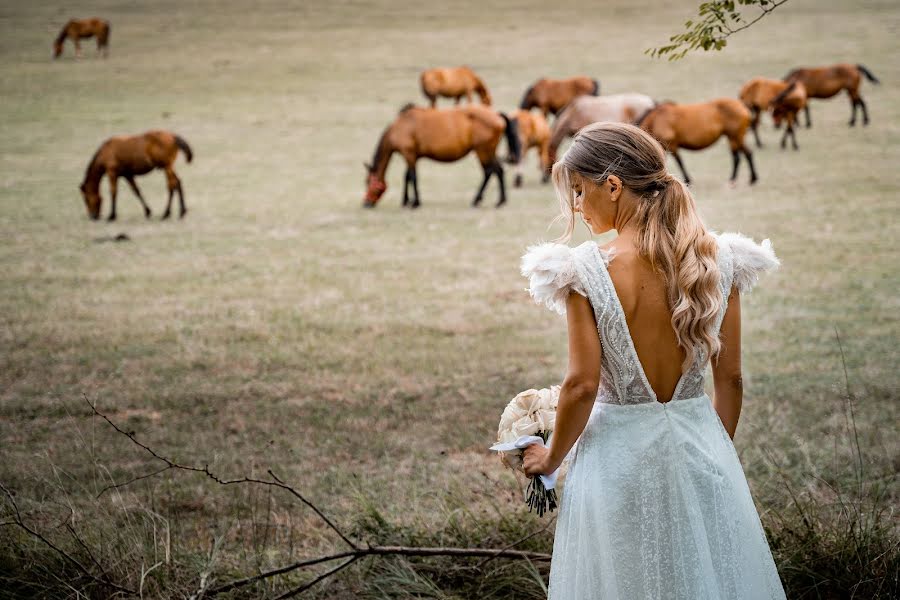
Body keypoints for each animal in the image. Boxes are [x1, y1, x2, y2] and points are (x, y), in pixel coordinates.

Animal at [364, 105, 520, 211]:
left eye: (368, 182)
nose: (366, 203)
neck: (401, 126)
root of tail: (496, 114)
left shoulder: (408, 154)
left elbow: (412, 177)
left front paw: (415, 202)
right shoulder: (412, 156)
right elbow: (407, 176)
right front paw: (406, 201)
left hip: (483, 151)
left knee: (491, 171)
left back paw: (479, 200)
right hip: (487, 151)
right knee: (497, 171)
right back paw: (499, 200)